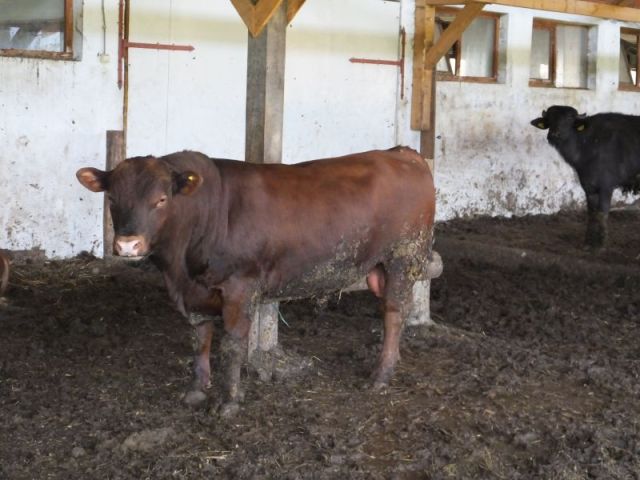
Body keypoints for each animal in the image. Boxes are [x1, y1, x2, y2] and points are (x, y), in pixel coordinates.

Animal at [76, 147, 436, 414]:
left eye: (161, 199)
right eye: (112, 199)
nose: (128, 245)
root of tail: (401, 153)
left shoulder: (240, 287)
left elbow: (233, 344)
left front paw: (229, 400)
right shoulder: (194, 295)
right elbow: (200, 338)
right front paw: (197, 389)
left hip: (402, 257)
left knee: (394, 313)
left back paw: (380, 375)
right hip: (379, 266)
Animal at [531, 105, 640, 248]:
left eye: (569, 119)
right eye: (550, 118)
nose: (554, 135)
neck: (587, 145)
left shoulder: (606, 186)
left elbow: (602, 213)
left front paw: (600, 245)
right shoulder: (589, 187)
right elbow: (592, 213)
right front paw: (589, 242)